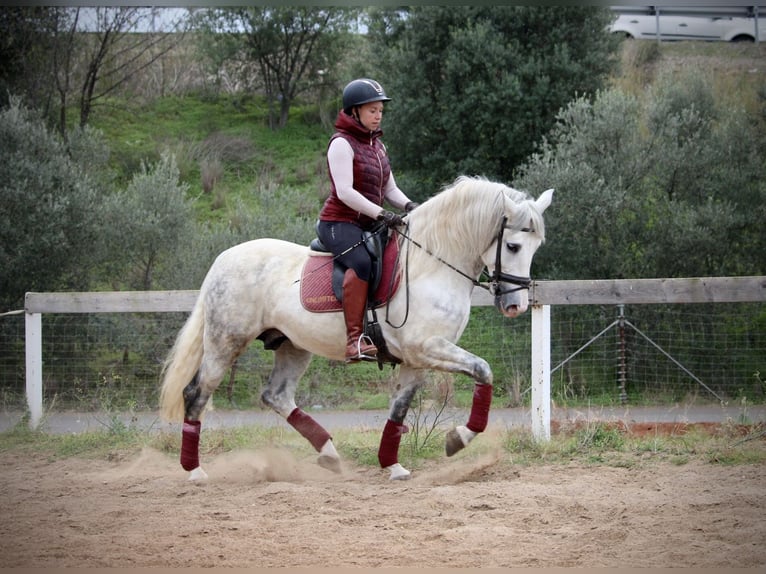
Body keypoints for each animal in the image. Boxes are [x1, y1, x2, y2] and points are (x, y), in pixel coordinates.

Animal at [159, 175, 553, 481]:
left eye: (536, 247)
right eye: (512, 245)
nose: (516, 305)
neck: (431, 264)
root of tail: (224, 258)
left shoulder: (416, 360)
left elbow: (399, 410)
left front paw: (392, 464)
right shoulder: (428, 347)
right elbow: (483, 370)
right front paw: (458, 439)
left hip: (293, 346)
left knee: (276, 396)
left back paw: (329, 453)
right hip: (225, 342)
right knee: (196, 394)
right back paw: (194, 471)